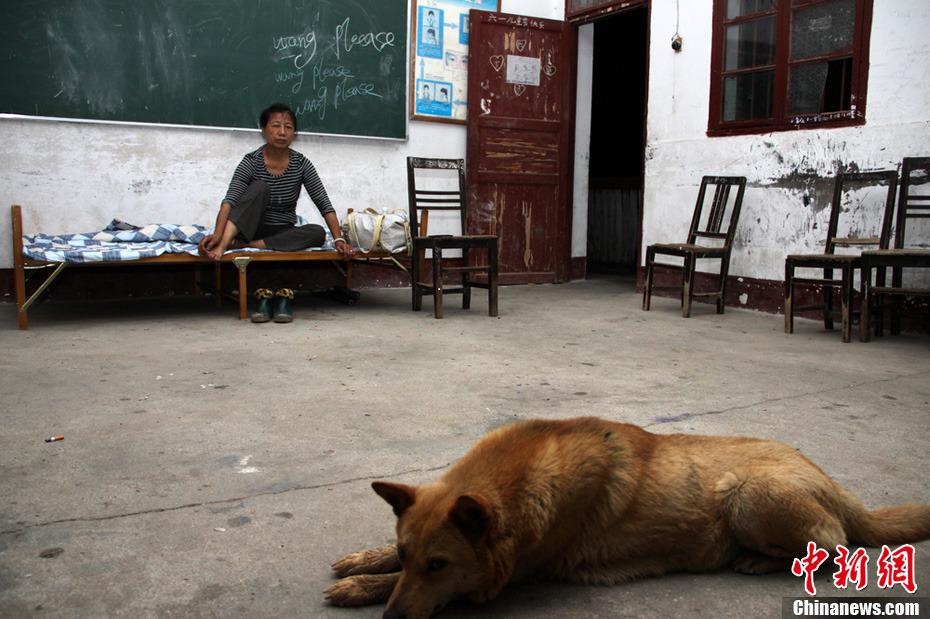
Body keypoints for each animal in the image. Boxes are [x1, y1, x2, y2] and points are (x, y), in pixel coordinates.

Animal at [324, 416, 928, 619]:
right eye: (409, 555)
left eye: (440, 565)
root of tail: (833, 482)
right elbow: (381, 559)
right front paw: (363, 562)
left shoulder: (504, 576)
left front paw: (363, 589)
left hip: (748, 495)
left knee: (833, 542)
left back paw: (761, 560)